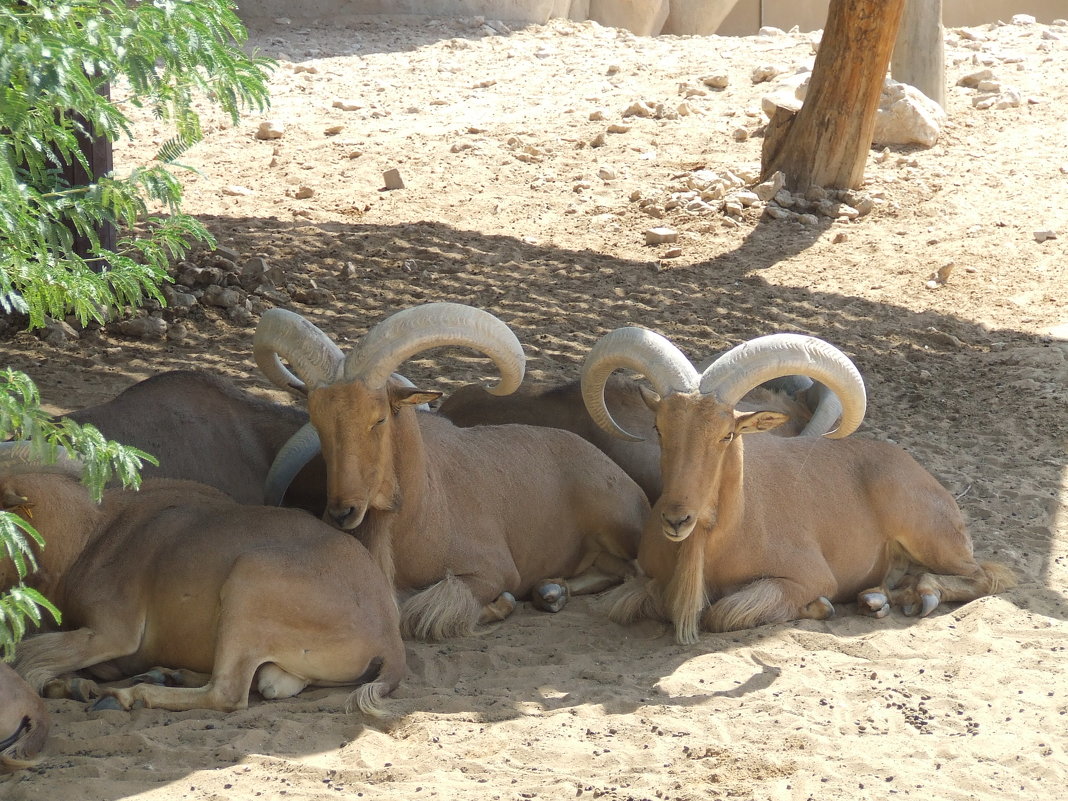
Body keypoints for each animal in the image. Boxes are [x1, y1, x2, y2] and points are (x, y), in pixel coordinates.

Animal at [1, 448, 403, 717]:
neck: (92, 535)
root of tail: (389, 635)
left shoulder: (110, 632)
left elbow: (29, 656)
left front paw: (72, 685)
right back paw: (168, 674)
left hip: (248, 583)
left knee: (227, 693)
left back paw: (130, 694)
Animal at [254, 303, 645, 645]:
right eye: (317, 420)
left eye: (379, 418)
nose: (342, 512)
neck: (418, 515)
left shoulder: (493, 571)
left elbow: (421, 611)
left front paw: (500, 604)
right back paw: (551, 591)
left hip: (614, 521)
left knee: (634, 570)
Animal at [580, 326, 1012, 645]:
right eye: (659, 428)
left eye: (726, 434)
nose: (676, 519)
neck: (722, 538)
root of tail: (920, 473)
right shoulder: (645, 578)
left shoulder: (809, 577)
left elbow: (723, 612)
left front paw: (819, 607)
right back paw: (877, 598)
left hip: (928, 533)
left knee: (983, 574)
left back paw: (922, 594)